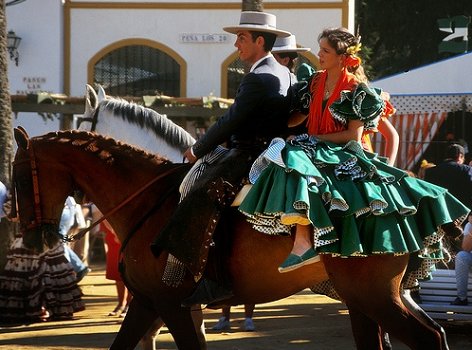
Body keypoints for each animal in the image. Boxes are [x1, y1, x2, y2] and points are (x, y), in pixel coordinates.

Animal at [12, 127, 452, 348]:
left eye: (18, 176)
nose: (32, 242)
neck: (149, 201)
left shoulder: (170, 304)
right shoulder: (149, 303)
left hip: (374, 297)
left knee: (429, 339)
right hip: (366, 299)